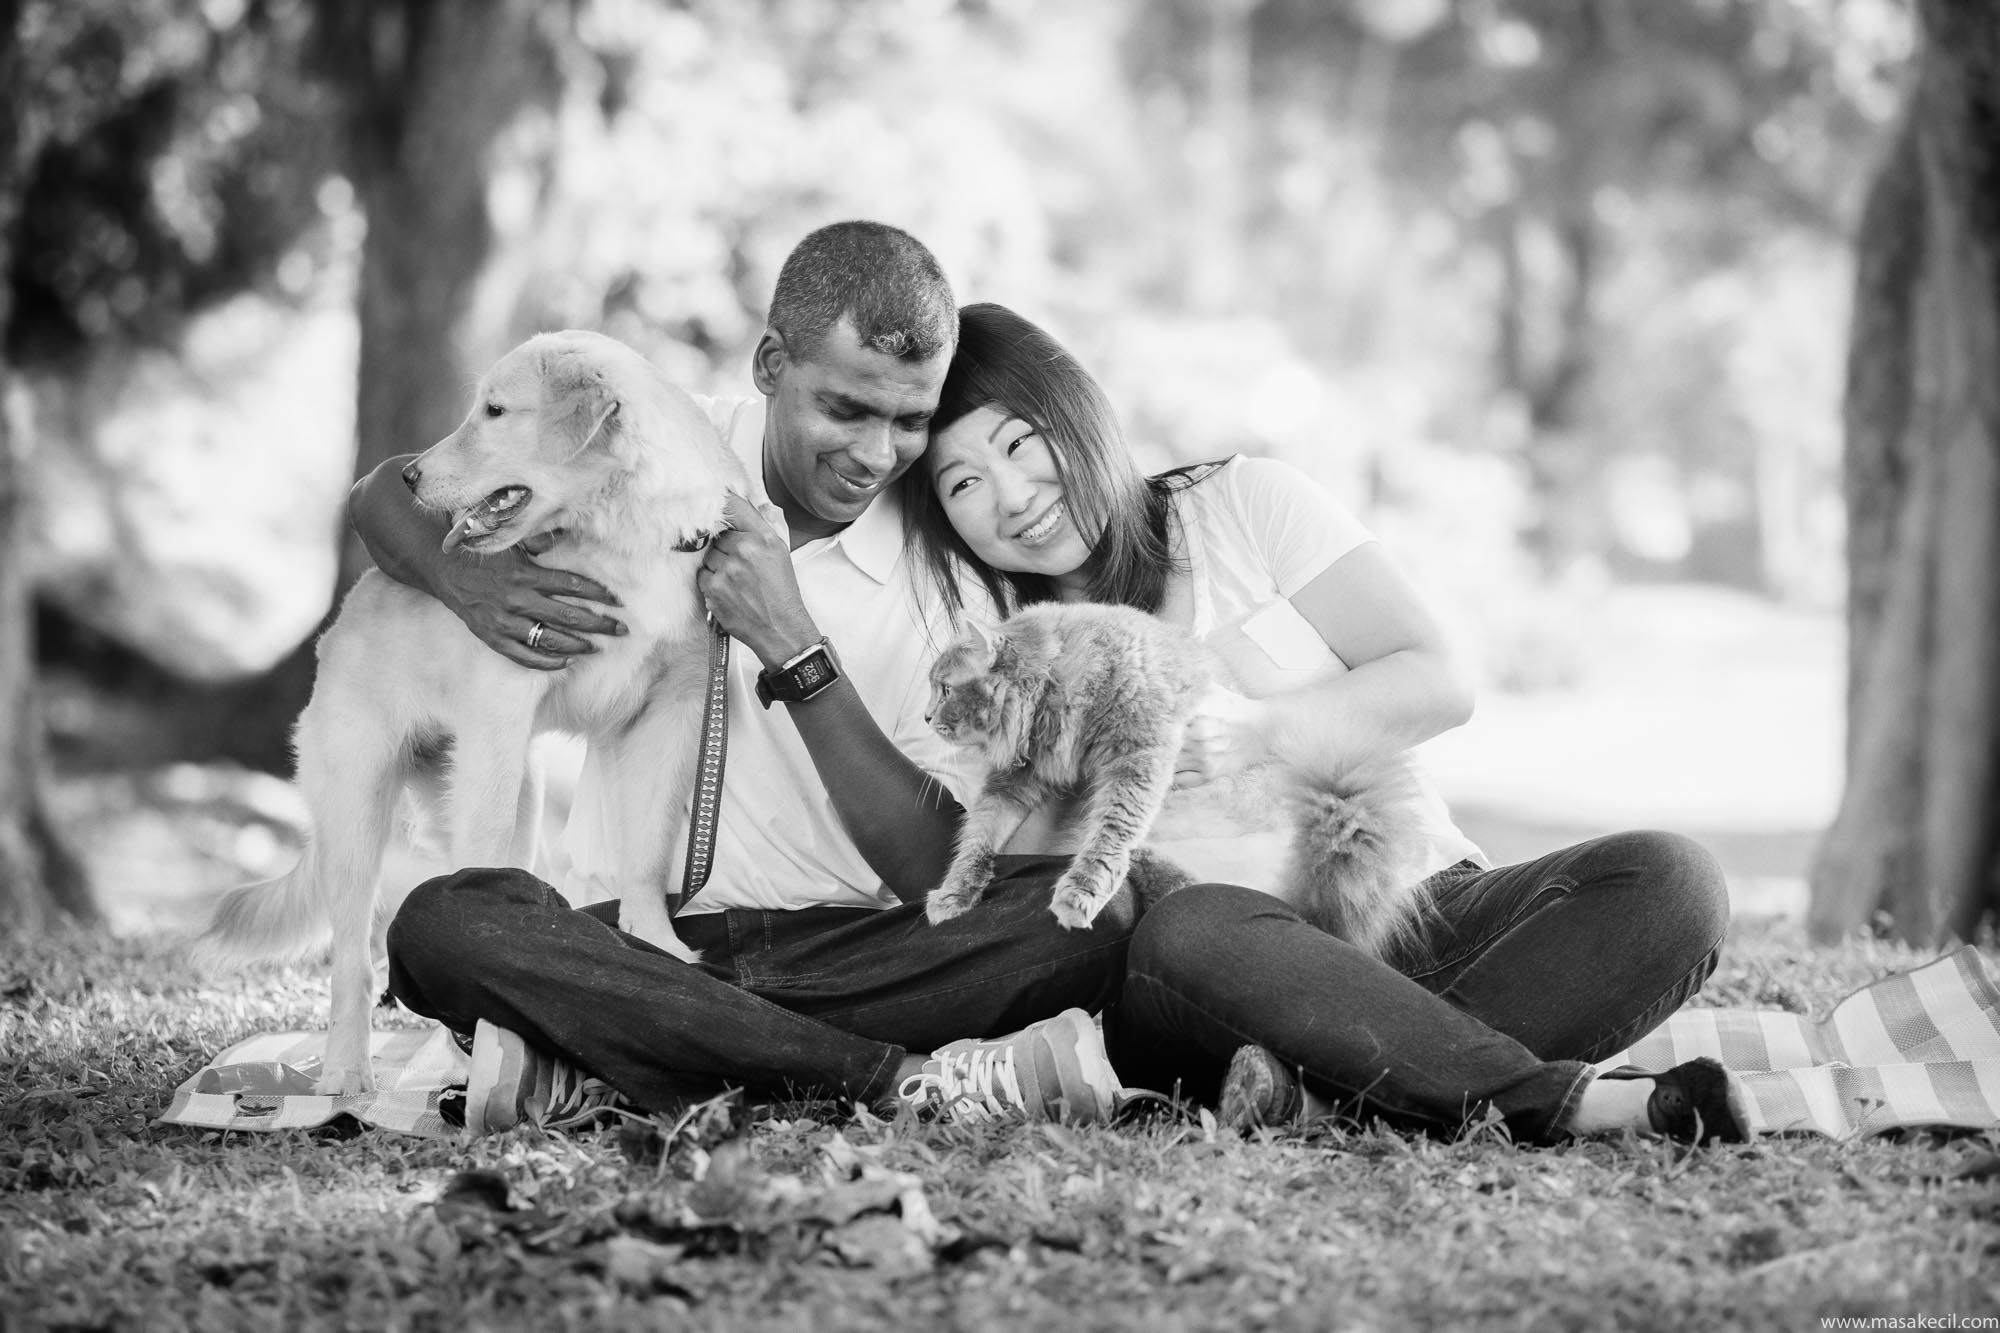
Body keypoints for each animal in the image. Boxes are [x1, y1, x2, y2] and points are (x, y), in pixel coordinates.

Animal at [203, 326, 744, 1088]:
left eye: (494, 410)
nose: (407, 476)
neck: (620, 538)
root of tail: (342, 618)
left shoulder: (675, 711)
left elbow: (646, 853)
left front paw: (658, 945)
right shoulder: (502, 709)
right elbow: (480, 870)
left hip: (521, 788)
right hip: (359, 807)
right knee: (352, 963)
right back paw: (346, 1072)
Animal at [920, 600, 1440, 956]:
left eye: (944, 689)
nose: (925, 717)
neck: (1054, 684)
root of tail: (1311, 901)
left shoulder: (1140, 756)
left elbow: (1111, 835)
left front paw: (1081, 891)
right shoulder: (1014, 782)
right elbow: (977, 838)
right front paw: (955, 894)